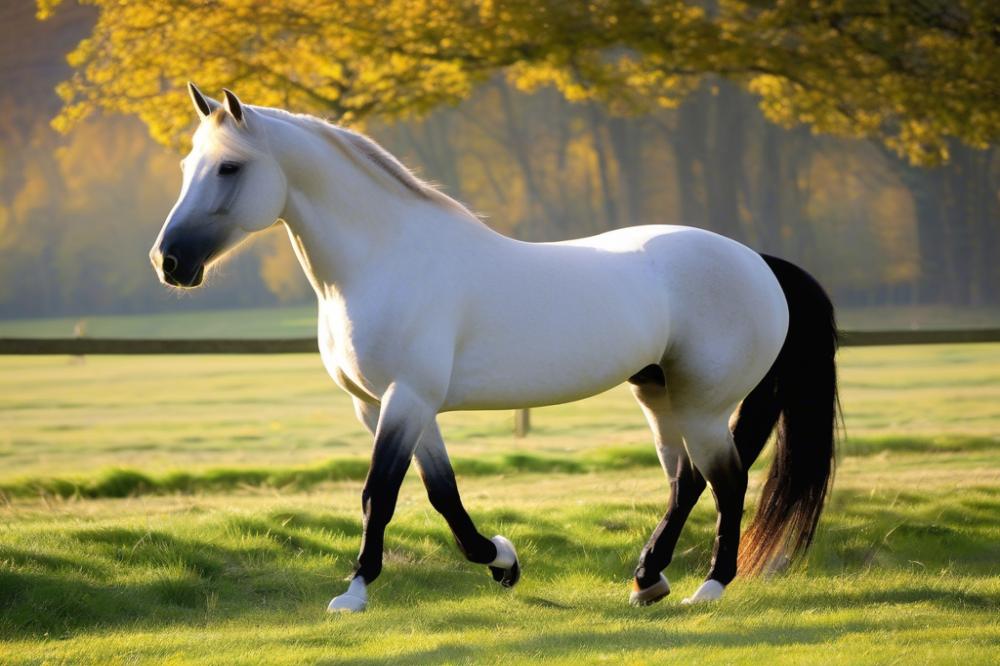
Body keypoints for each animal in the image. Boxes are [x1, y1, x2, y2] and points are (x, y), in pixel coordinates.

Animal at [150, 85, 836, 616]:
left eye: (230, 168)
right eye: (186, 167)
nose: (169, 261)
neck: (385, 259)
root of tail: (757, 260)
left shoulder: (405, 398)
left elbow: (380, 494)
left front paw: (354, 593)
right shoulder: (387, 406)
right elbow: (441, 494)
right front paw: (502, 561)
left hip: (701, 402)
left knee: (725, 479)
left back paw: (710, 587)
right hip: (658, 393)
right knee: (686, 480)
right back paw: (647, 581)